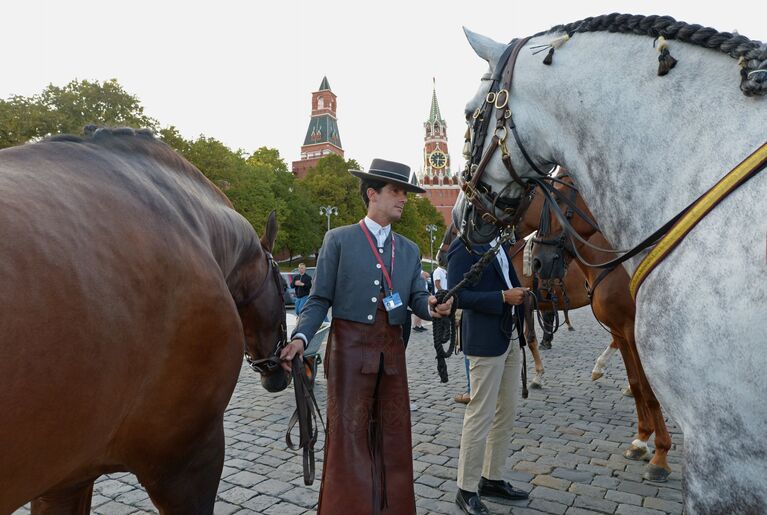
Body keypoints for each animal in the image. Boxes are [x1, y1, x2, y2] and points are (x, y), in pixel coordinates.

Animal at [460, 12, 764, 512]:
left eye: (470, 114)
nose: (539, 263)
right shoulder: (622, 332)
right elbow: (640, 385)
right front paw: (645, 441)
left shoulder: (726, 450)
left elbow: (642, 386)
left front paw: (655, 450)